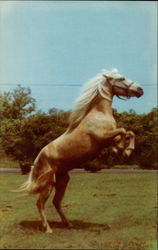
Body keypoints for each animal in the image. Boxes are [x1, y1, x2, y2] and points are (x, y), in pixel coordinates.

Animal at [17, 68, 144, 232]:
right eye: (121, 78)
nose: (140, 90)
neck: (99, 114)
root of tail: (39, 158)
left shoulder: (109, 138)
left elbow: (129, 132)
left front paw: (124, 150)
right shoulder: (103, 137)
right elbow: (123, 131)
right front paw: (123, 150)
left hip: (62, 180)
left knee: (56, 202)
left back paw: (68, 224)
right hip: (47, 183)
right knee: (40, 204)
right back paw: (48, 229)